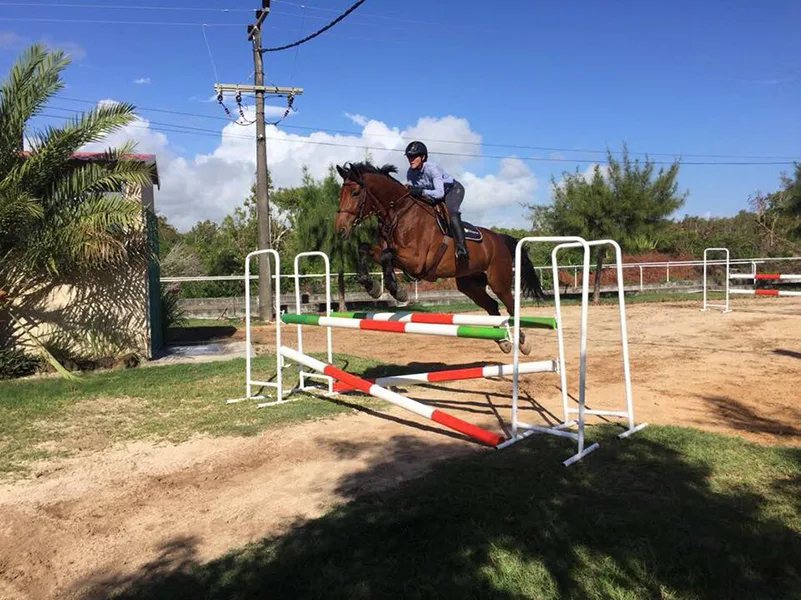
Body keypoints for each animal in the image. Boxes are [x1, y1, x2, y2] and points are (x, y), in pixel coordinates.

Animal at [332, 162, 544, 354]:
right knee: (492, 306)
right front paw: (371, 286)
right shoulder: (385, 250)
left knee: (511, 307)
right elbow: (364, 249)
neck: (398, 213)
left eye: (355, 193)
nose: (340, 230)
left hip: (498, 281)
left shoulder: (416, 260)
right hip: (469, 285)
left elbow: (386, 256)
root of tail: (499, 238)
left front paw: (397, 291)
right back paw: (503, 342)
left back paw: (523, 342)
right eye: (340, 195)